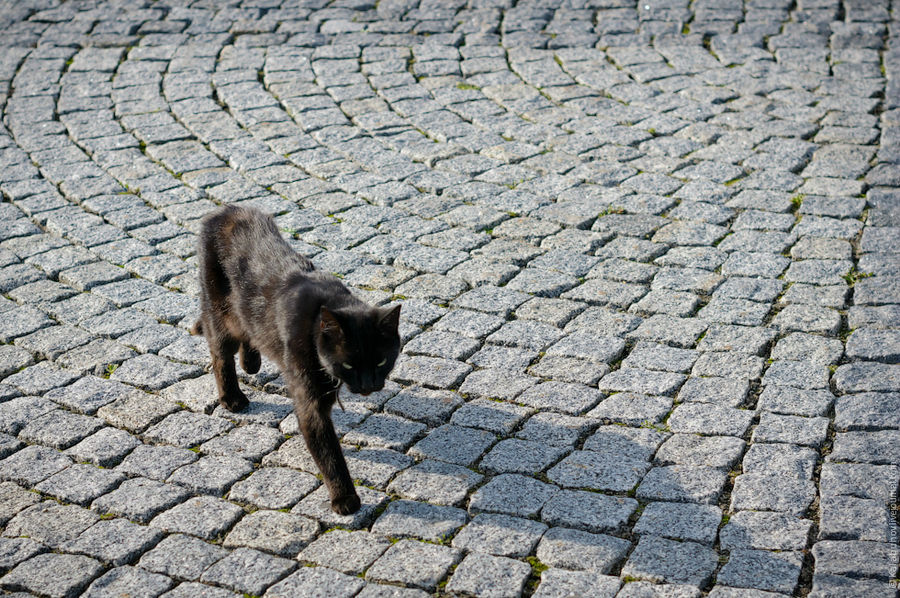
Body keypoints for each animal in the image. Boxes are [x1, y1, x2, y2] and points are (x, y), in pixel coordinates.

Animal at [193, 206, 400, 516]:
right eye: (349, 365)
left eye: (380, 362)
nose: (368, 386)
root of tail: (224, 210)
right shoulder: (310, 402)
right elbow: (328, 453)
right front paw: (344, 498)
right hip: (219, 312)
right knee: (220, 354)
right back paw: (232, 396)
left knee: (249, 331)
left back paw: (250, 362)